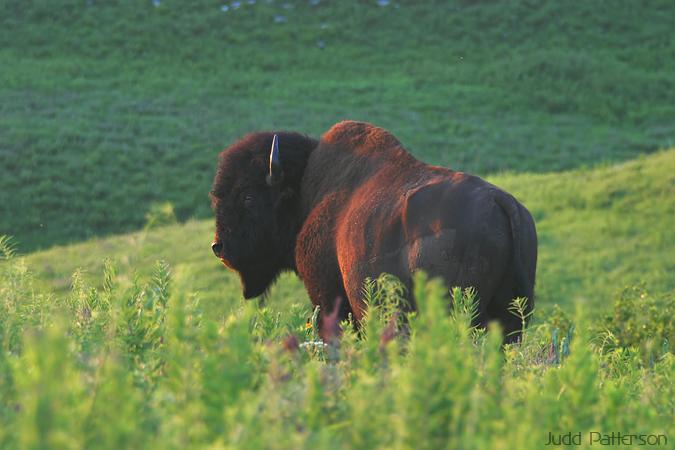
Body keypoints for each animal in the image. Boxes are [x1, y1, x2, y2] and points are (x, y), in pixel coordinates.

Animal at [210, 121, 537, 342]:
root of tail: (502, 202)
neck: (303, 191)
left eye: (248, 196)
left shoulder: (328, 297)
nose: (219, 247)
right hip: (510, 318)